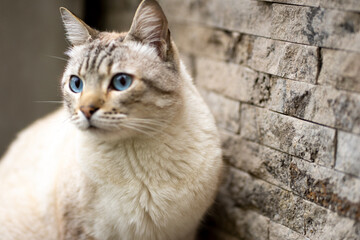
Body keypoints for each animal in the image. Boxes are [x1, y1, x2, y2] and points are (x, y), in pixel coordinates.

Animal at [0, 0, 222, 239]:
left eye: (121, 82)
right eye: (76, 84)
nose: (86, 110)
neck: (134, 151)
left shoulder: (183, 232)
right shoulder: (79, 230)